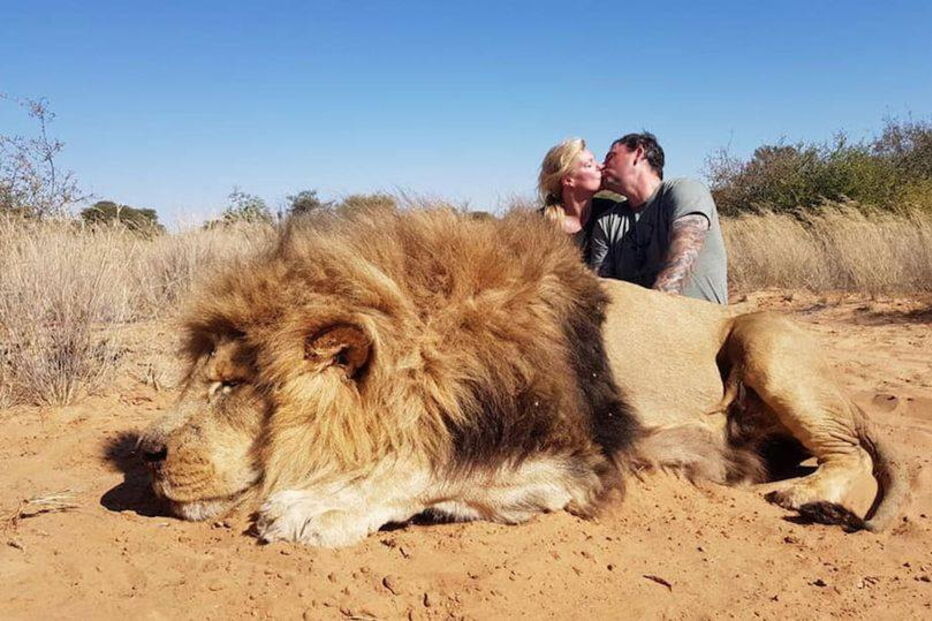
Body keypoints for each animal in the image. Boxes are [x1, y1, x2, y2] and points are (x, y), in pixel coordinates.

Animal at [138, 208, 906, 547]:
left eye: (231, 385)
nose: (147, 452)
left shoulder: (584, 458)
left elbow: (429, 467)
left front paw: (315, 507)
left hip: (762, 335)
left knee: (851, 453)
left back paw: (806, 494)